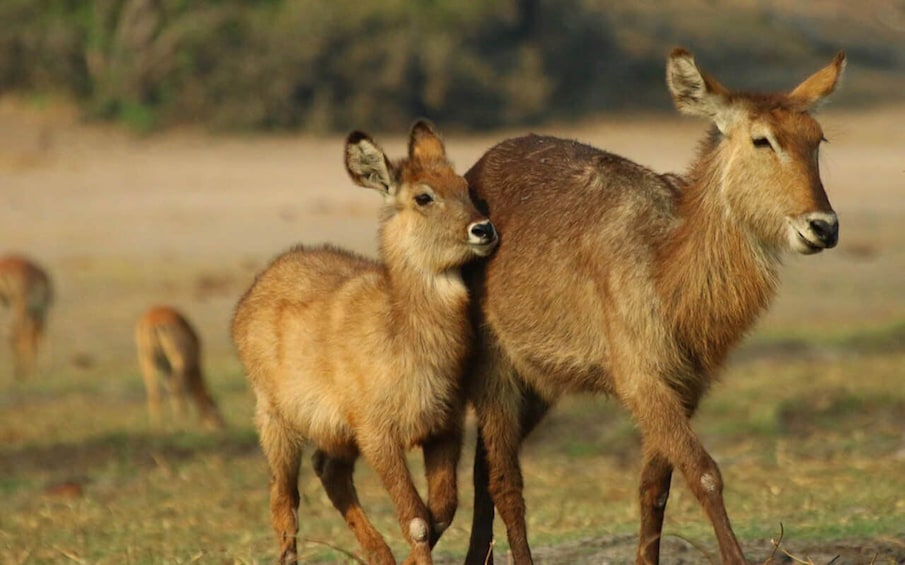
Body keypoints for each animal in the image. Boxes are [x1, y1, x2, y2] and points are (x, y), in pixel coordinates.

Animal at [230, 120, 498, 564]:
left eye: (466, 188)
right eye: (424, 196)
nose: (484, 229)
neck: (404, 331)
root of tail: (255, 288)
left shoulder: (444, 427)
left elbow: (440, 512)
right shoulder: (377, 433)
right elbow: (417, 519)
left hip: (335, 432)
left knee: (329, 471)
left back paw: (379, 555)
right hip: (275, 418)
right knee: (284, 501)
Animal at [462, 48, 844, 564]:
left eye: (817, 139)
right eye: (762, 139)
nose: (823, 226)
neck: (666, 264)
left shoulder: (686, 385)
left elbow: (654, 487)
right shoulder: (642, 379)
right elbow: (704, 473)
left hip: (539, 384)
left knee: (483, 471)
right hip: (496, 372)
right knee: (504, 480)